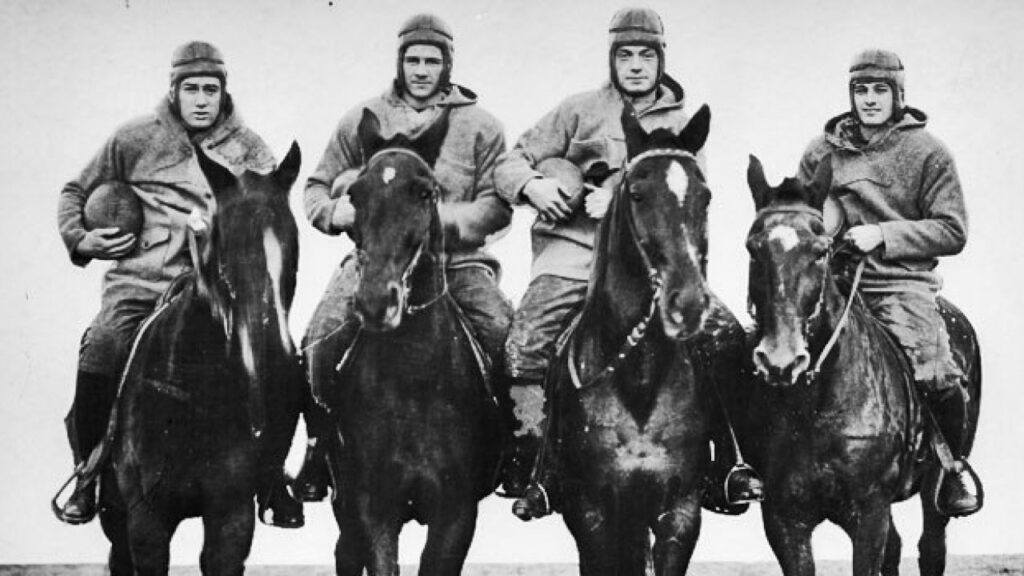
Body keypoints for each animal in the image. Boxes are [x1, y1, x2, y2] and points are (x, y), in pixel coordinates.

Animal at [323, 108, 503, 573]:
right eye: (355, 194)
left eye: (425, 193)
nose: (374, 302)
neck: (413, 381)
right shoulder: (372, 508)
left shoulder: (455, 515)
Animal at [544, 105, 720, 569]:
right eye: (638, 194)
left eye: (705, 196)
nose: (687, 303)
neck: (639, 377)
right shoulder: (591, 514)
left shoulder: (680, 511)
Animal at [745, 155, 983, 573]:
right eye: (753, 249)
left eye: (820, 250)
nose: (780, 361)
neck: (816, 404)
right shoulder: (783, 519)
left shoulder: (869, 512)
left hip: (935, 488)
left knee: (931, 546)